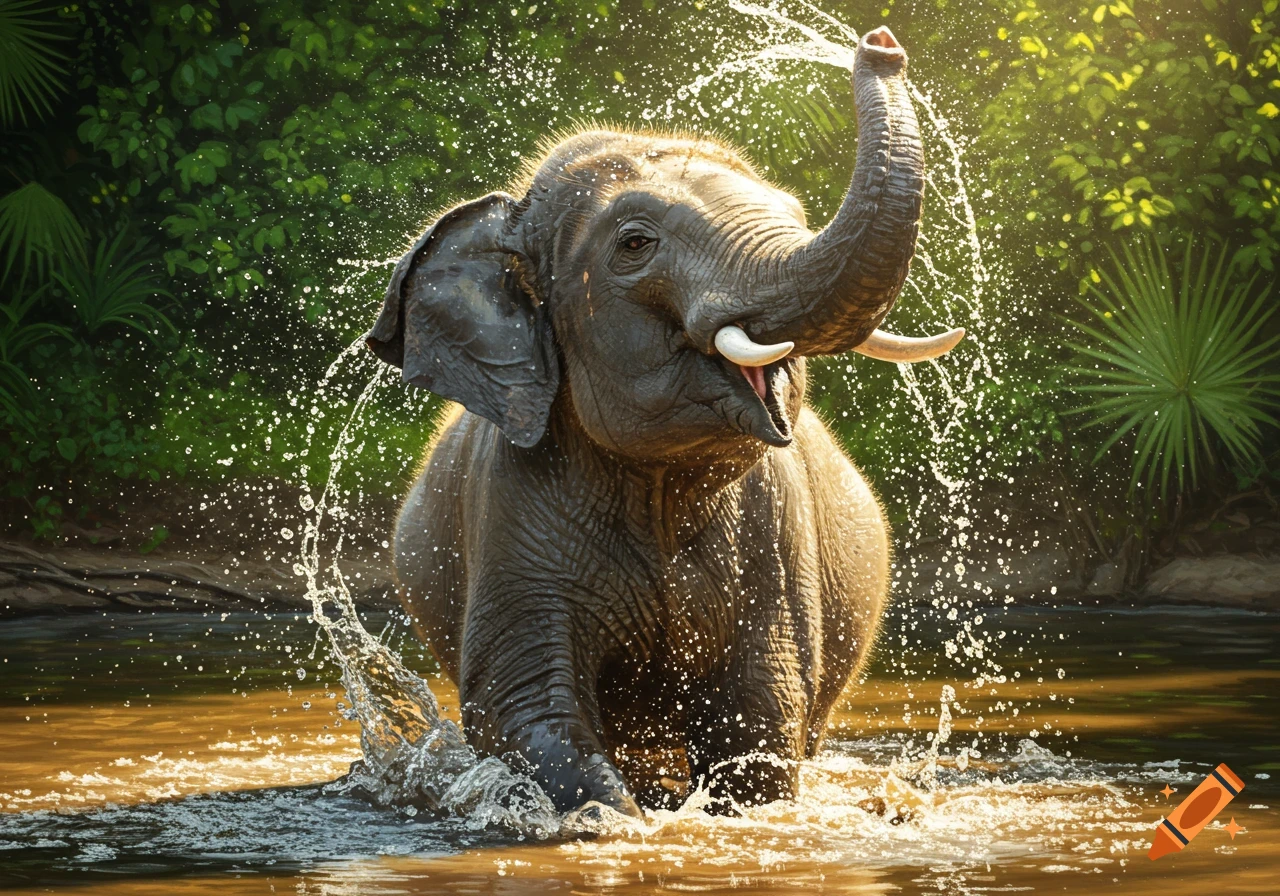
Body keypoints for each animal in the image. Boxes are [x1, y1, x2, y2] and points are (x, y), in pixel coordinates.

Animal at [366, 27, 962, 817]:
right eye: (634, 243)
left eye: (795, 212)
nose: (880, 42)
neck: (659, 486)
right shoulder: (511, 509)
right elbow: (525, 709)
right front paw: (614, 819)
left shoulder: (775, 540)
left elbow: (758, 716)